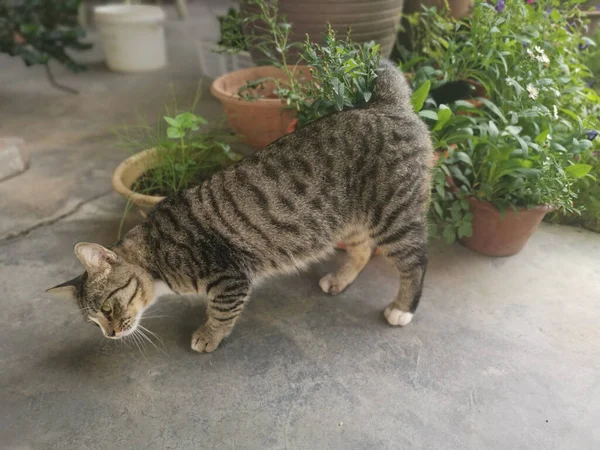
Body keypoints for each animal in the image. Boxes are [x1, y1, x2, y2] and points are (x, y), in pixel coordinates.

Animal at [47, 59, 432, 354]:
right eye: (94, 320)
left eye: (107, 307)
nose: (110, 335)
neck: (156, 252)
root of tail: (384, 104)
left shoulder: (230, 277)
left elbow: (221, 311)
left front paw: (208, 336)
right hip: (351, 221)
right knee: (363, 250)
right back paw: (340, 279)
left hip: (394, 215)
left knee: (415, 261)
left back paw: (402, 309)